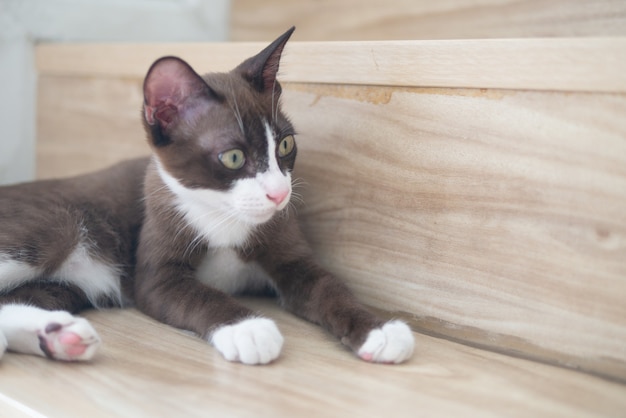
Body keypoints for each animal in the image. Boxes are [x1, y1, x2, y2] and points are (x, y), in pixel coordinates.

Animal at [0, 27, 414, 364]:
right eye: (233, 157)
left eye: (285, 145)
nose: (279, 194)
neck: (225, 215)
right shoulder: (154, 265)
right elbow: (196, 294)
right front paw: (248, 328)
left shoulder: (287, 246)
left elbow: (327, 285)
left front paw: (378, 329)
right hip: (57, 224)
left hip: (67, 285)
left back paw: (59, 336)